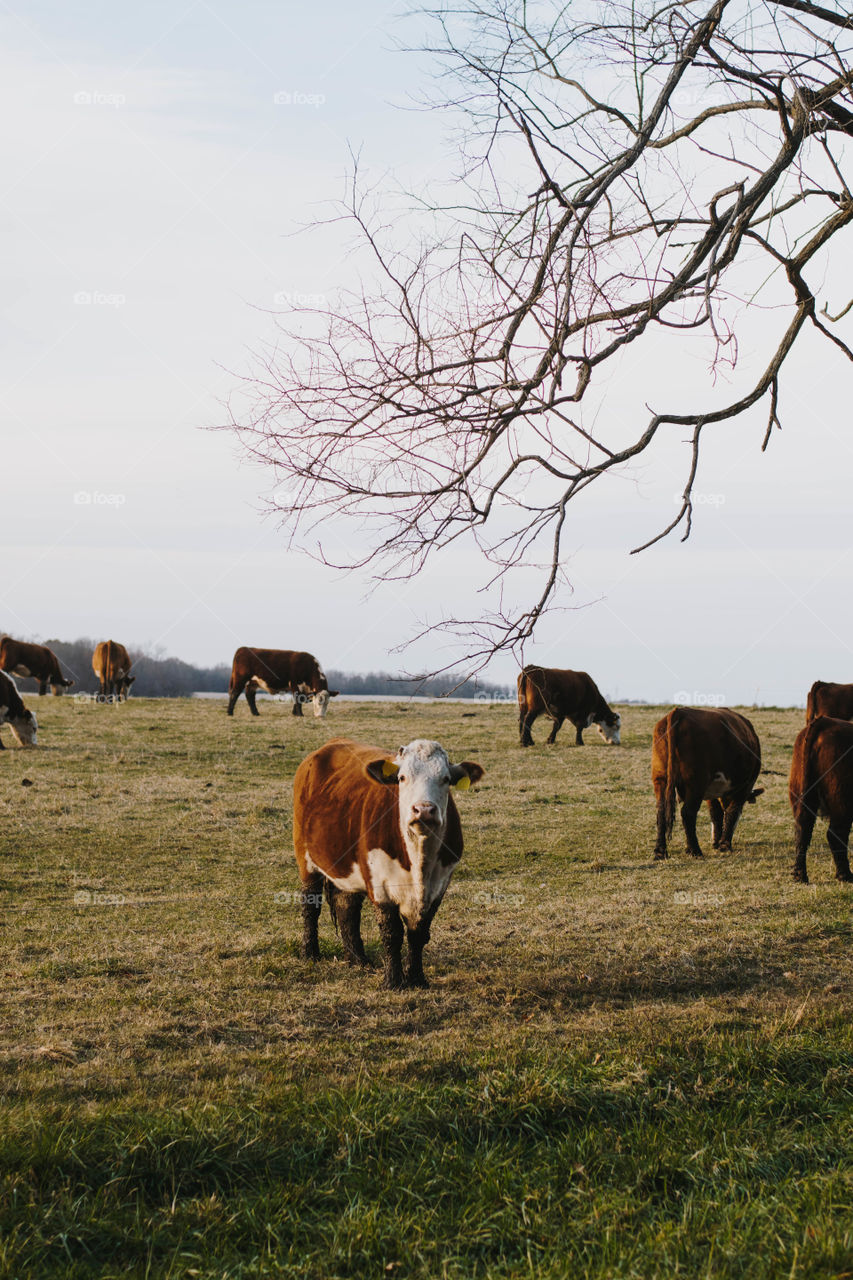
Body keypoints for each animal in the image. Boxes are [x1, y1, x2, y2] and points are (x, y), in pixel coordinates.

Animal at [293, 737, 484, 988]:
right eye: (402, 778)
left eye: (445, 779)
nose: (424, 810)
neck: (419, 863)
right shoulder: (380, 885)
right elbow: (391, 933)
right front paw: (393, 981)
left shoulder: (439, 885)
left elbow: (419, 933)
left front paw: (416, 978)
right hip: (305, 858)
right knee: (310, 905)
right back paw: (310, 953)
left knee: (347, 908)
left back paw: (358, 959)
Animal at [652, 706, 763, 860]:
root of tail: (678, 712)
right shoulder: (744, 787)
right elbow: (732, 812)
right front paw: (724, 845)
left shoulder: (712, 792)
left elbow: (716, 814)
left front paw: (716, 842)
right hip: (696, 783)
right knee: (688, 813)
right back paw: (695, 850)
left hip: (661, 779)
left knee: (661, 812)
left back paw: (660, 851)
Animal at [789, 715, 853, 884]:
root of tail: (825, 722)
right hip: (842, 805)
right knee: (836, 834)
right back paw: (845, 875)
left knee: (802, 830)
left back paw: (800, 875)